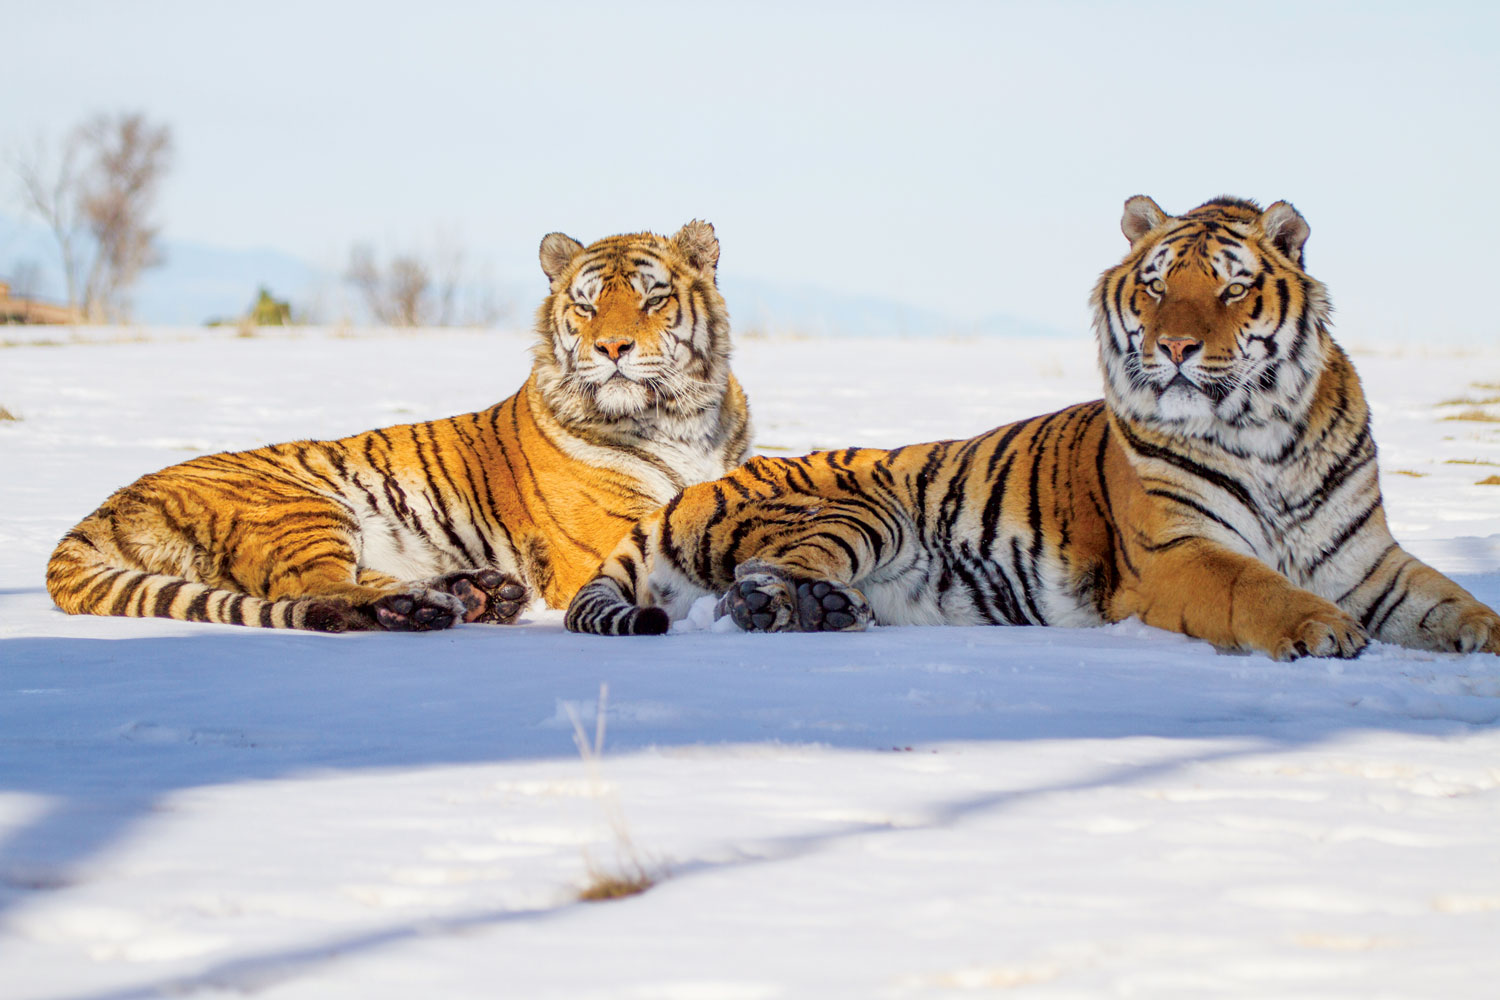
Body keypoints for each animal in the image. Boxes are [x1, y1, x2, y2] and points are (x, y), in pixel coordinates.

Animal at [46, 221, 752, 632]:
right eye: (586, 304)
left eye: (654, 298)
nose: (612, 347)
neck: (683, 420)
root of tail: (109, 505)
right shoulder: (609, 543)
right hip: (301, 509)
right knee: (318, 587)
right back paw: (427, 607)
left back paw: (474, 594)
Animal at [565, 197, 1500, 660]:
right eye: (1156, 286)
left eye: (1232, 288)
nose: (1174, 347)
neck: (1265, 432)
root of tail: (699, 485)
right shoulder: (1179, 554)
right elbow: (1257, 588)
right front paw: (1319, 630)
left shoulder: (1366, 560)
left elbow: (1447, 599)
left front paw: (1482, 634)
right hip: (864, 511)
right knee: (749, 582)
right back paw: (797, 609)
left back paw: (831, 611)